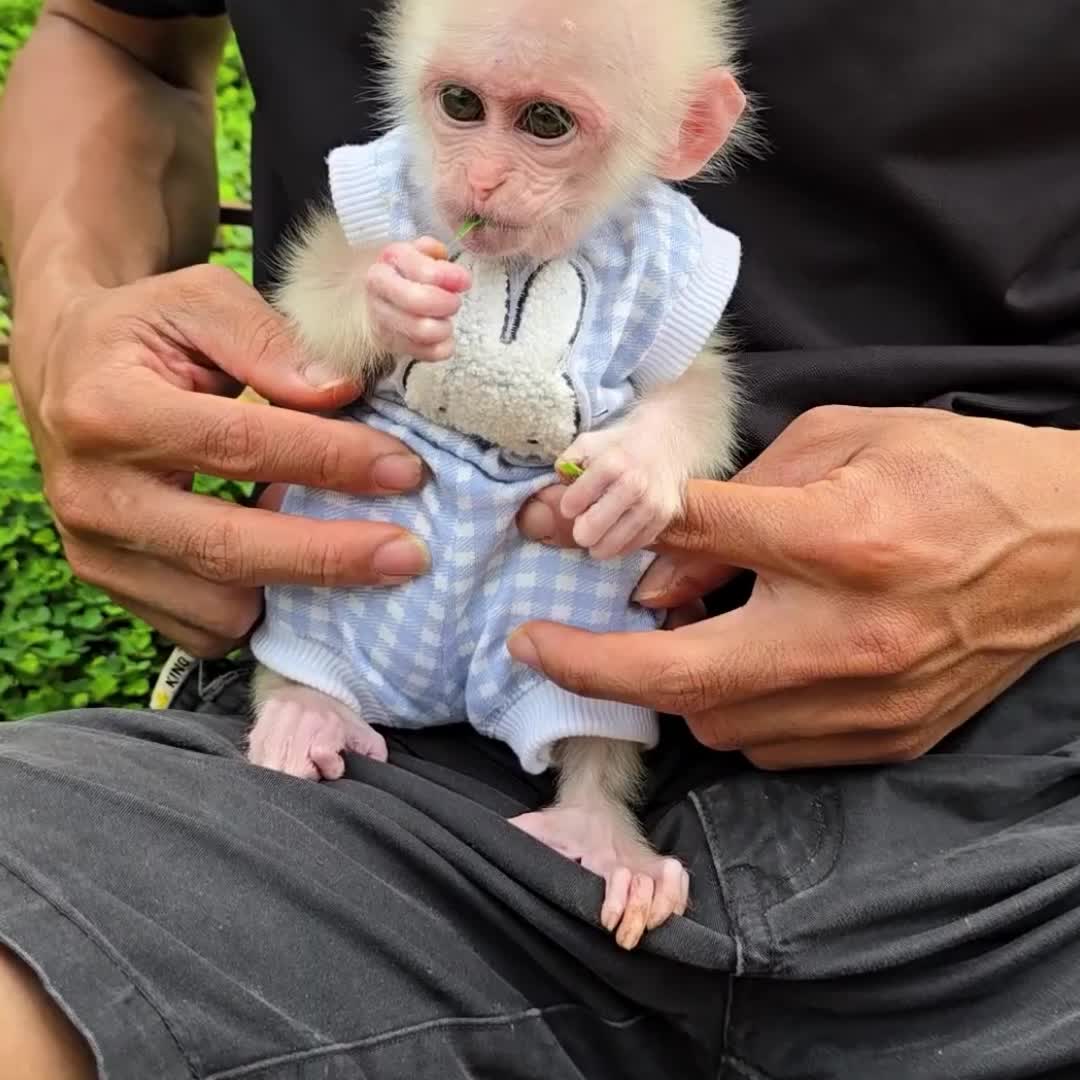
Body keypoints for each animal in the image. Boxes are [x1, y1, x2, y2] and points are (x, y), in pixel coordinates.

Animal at [248, 0, 750, 951]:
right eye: (460, 105)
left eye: (545, 123)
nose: (478, 180)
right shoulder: (386, 190)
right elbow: (318, 302)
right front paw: (394, 295)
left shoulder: (678, 276)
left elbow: (694, 388)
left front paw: (635, 471)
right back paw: (305, 705)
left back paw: (598, 834)